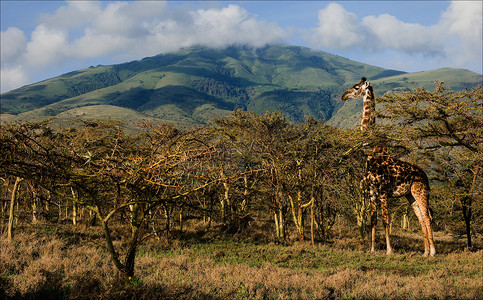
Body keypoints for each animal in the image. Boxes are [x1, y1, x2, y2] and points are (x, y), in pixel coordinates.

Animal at [342, 77, 436, 255]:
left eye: (356, 87)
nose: (344, 95)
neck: (371, 154)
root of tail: (425, 175)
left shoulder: (384, 192)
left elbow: (385, 220)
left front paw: (389, 250)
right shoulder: (371, 193)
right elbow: (373, 221)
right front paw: (372, 249)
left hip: (421, 192)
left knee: (427, 217)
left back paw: (433, 252)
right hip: (410, 196)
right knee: (421, 218)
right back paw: (425, 252)